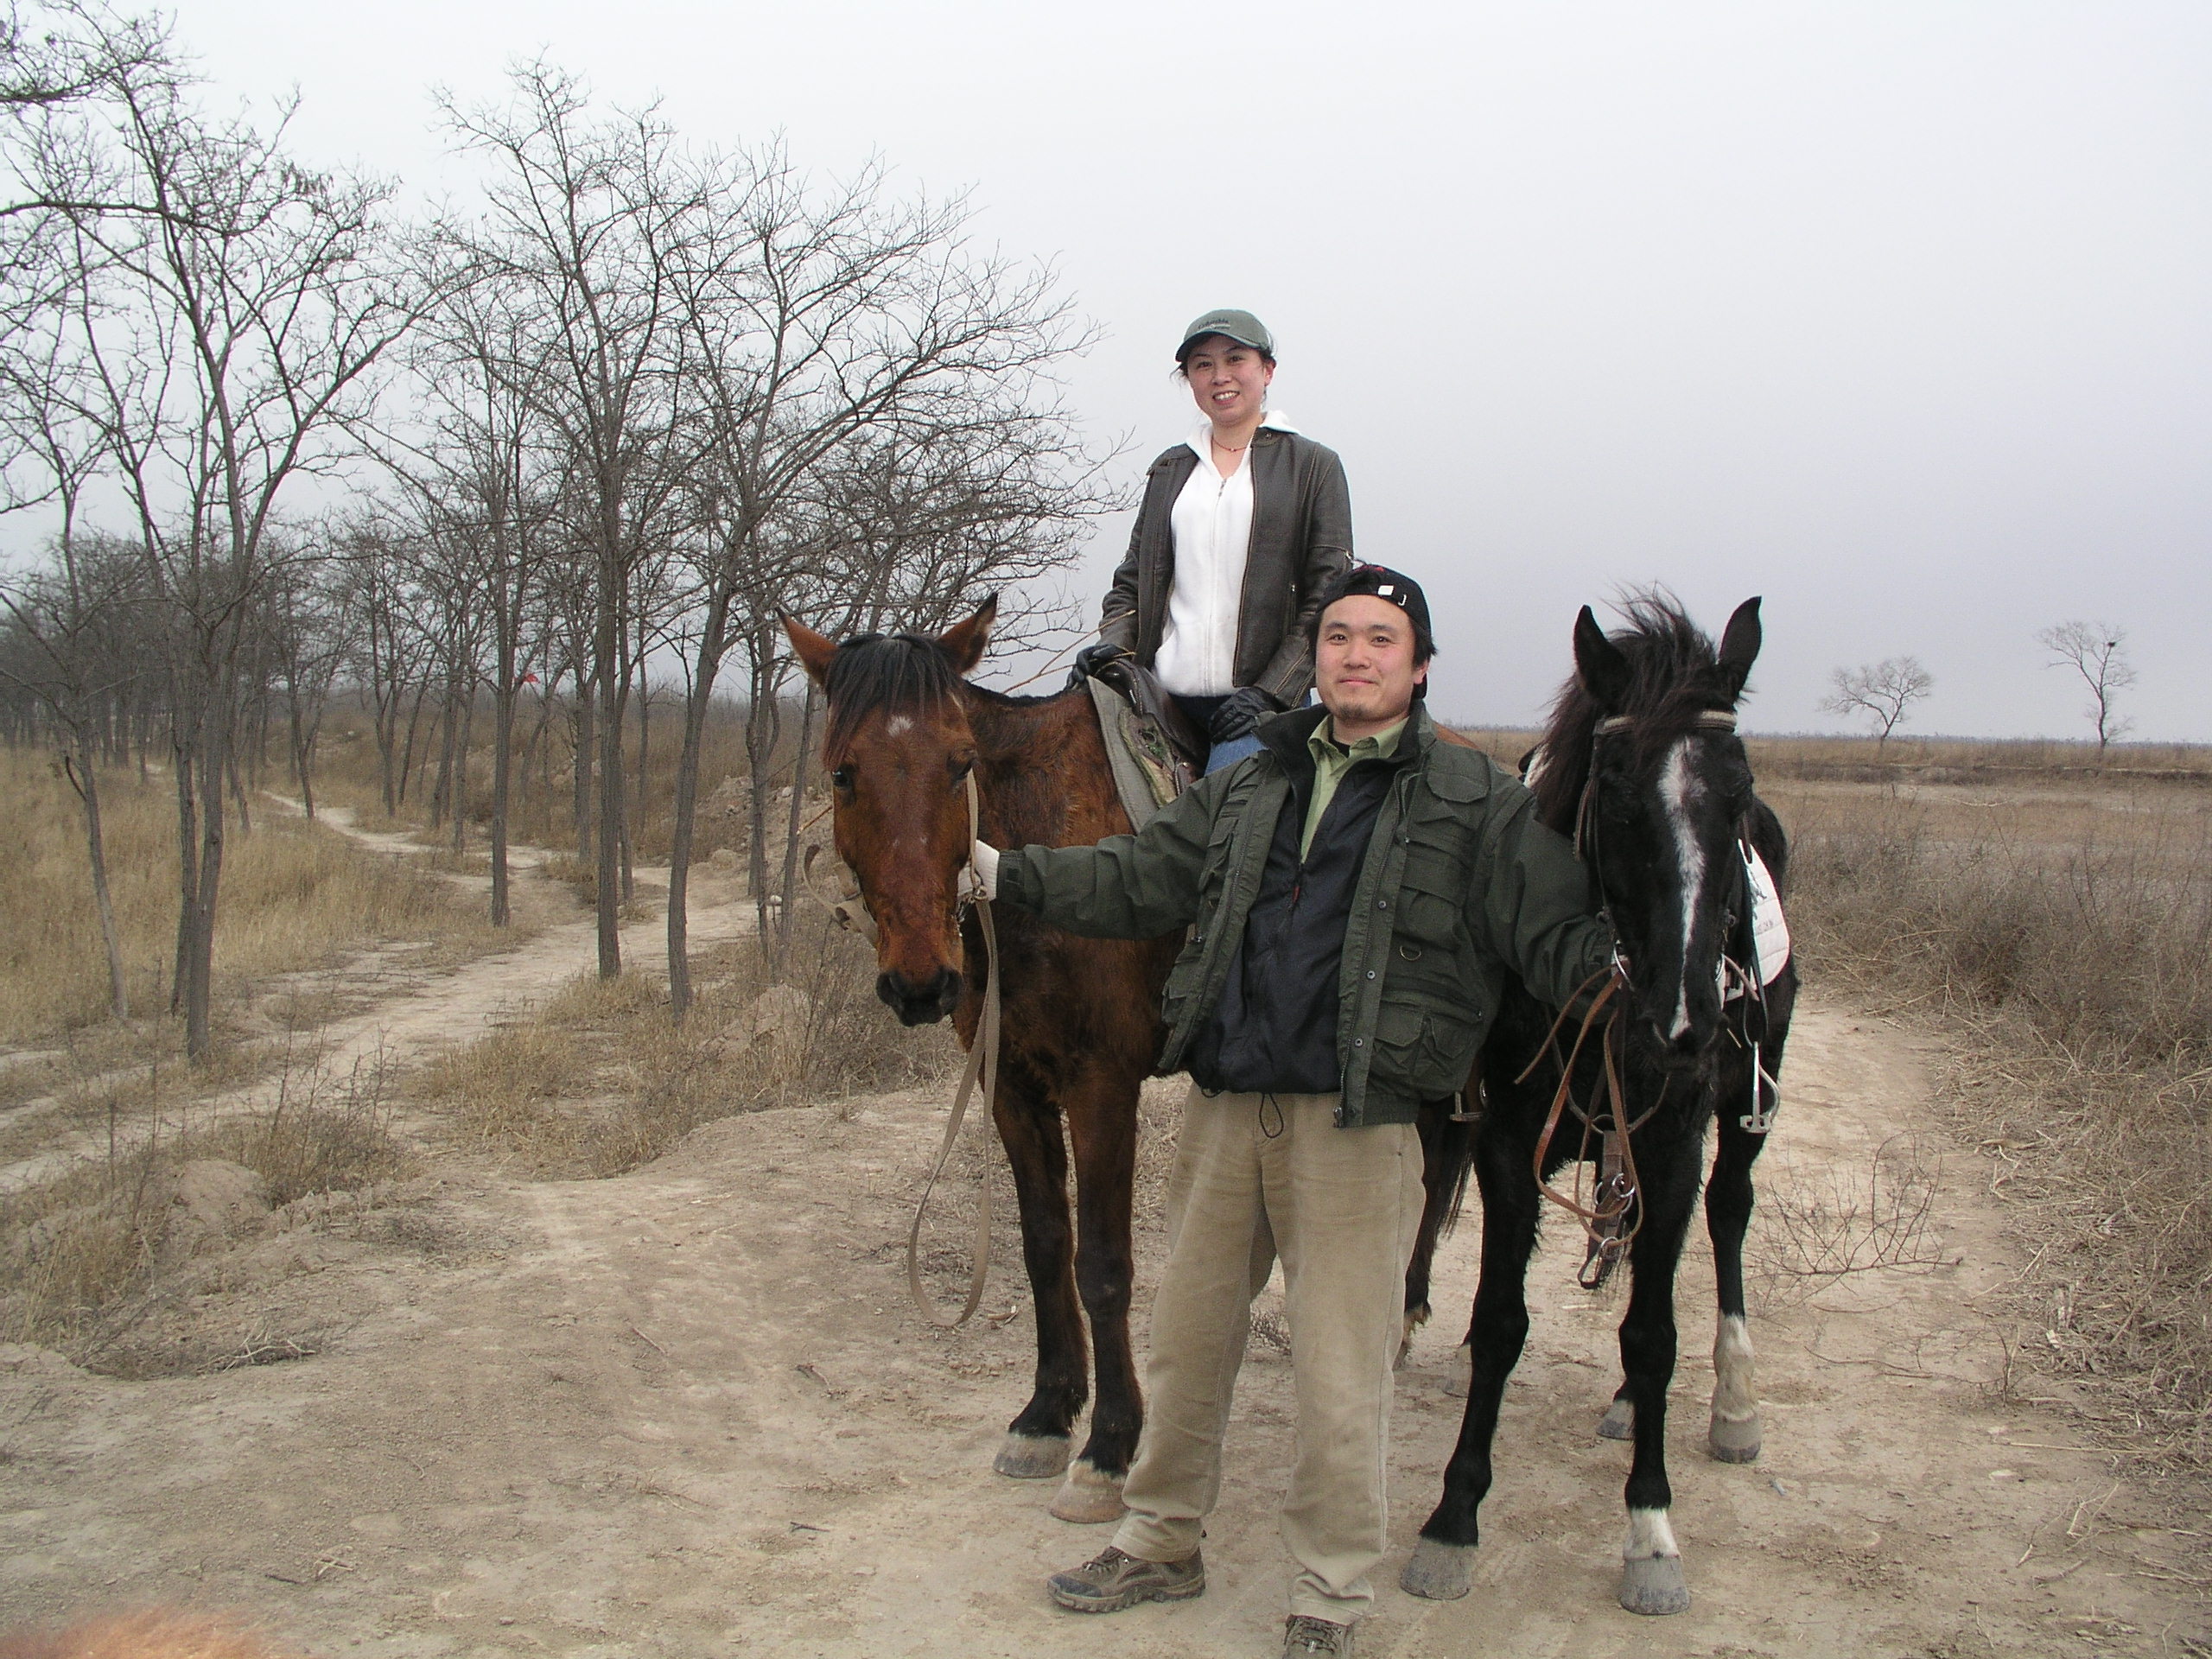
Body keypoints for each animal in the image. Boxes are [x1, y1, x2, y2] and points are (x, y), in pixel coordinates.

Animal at [1407, 601, 1787, 1628]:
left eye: (1736, 797)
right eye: (1615, 795)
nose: (1684, 1026)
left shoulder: (1671, 1142)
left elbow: (1652, 1336)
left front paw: (1650, 1532)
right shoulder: (1505, 1139)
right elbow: (1501, 1318)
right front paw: (1453, 1516)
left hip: (1744, 1107)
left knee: (1726, 1215)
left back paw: (1733, 1401)